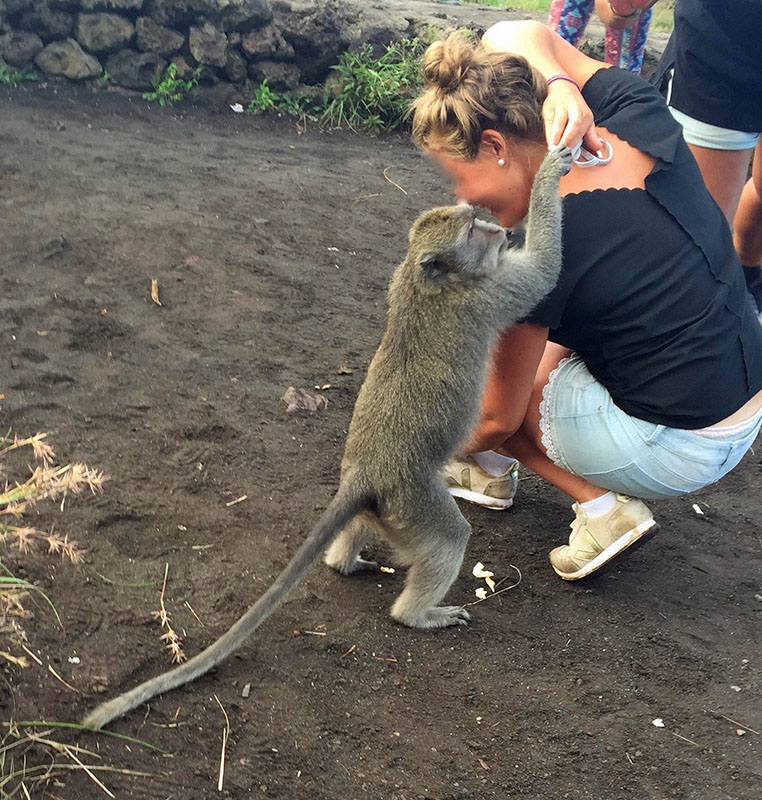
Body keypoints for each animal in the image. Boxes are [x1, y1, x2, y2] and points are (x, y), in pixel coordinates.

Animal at [83, 144, 568, 732]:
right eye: (474, 230)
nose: (497, 228)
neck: (427, 281)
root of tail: (366, 473)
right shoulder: (488, 293)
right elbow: (543, 271)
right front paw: (552, 171)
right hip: (412, 499)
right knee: (448, 537)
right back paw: (417, 615)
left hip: (383, 505)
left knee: (358, 524)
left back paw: (344, 561)